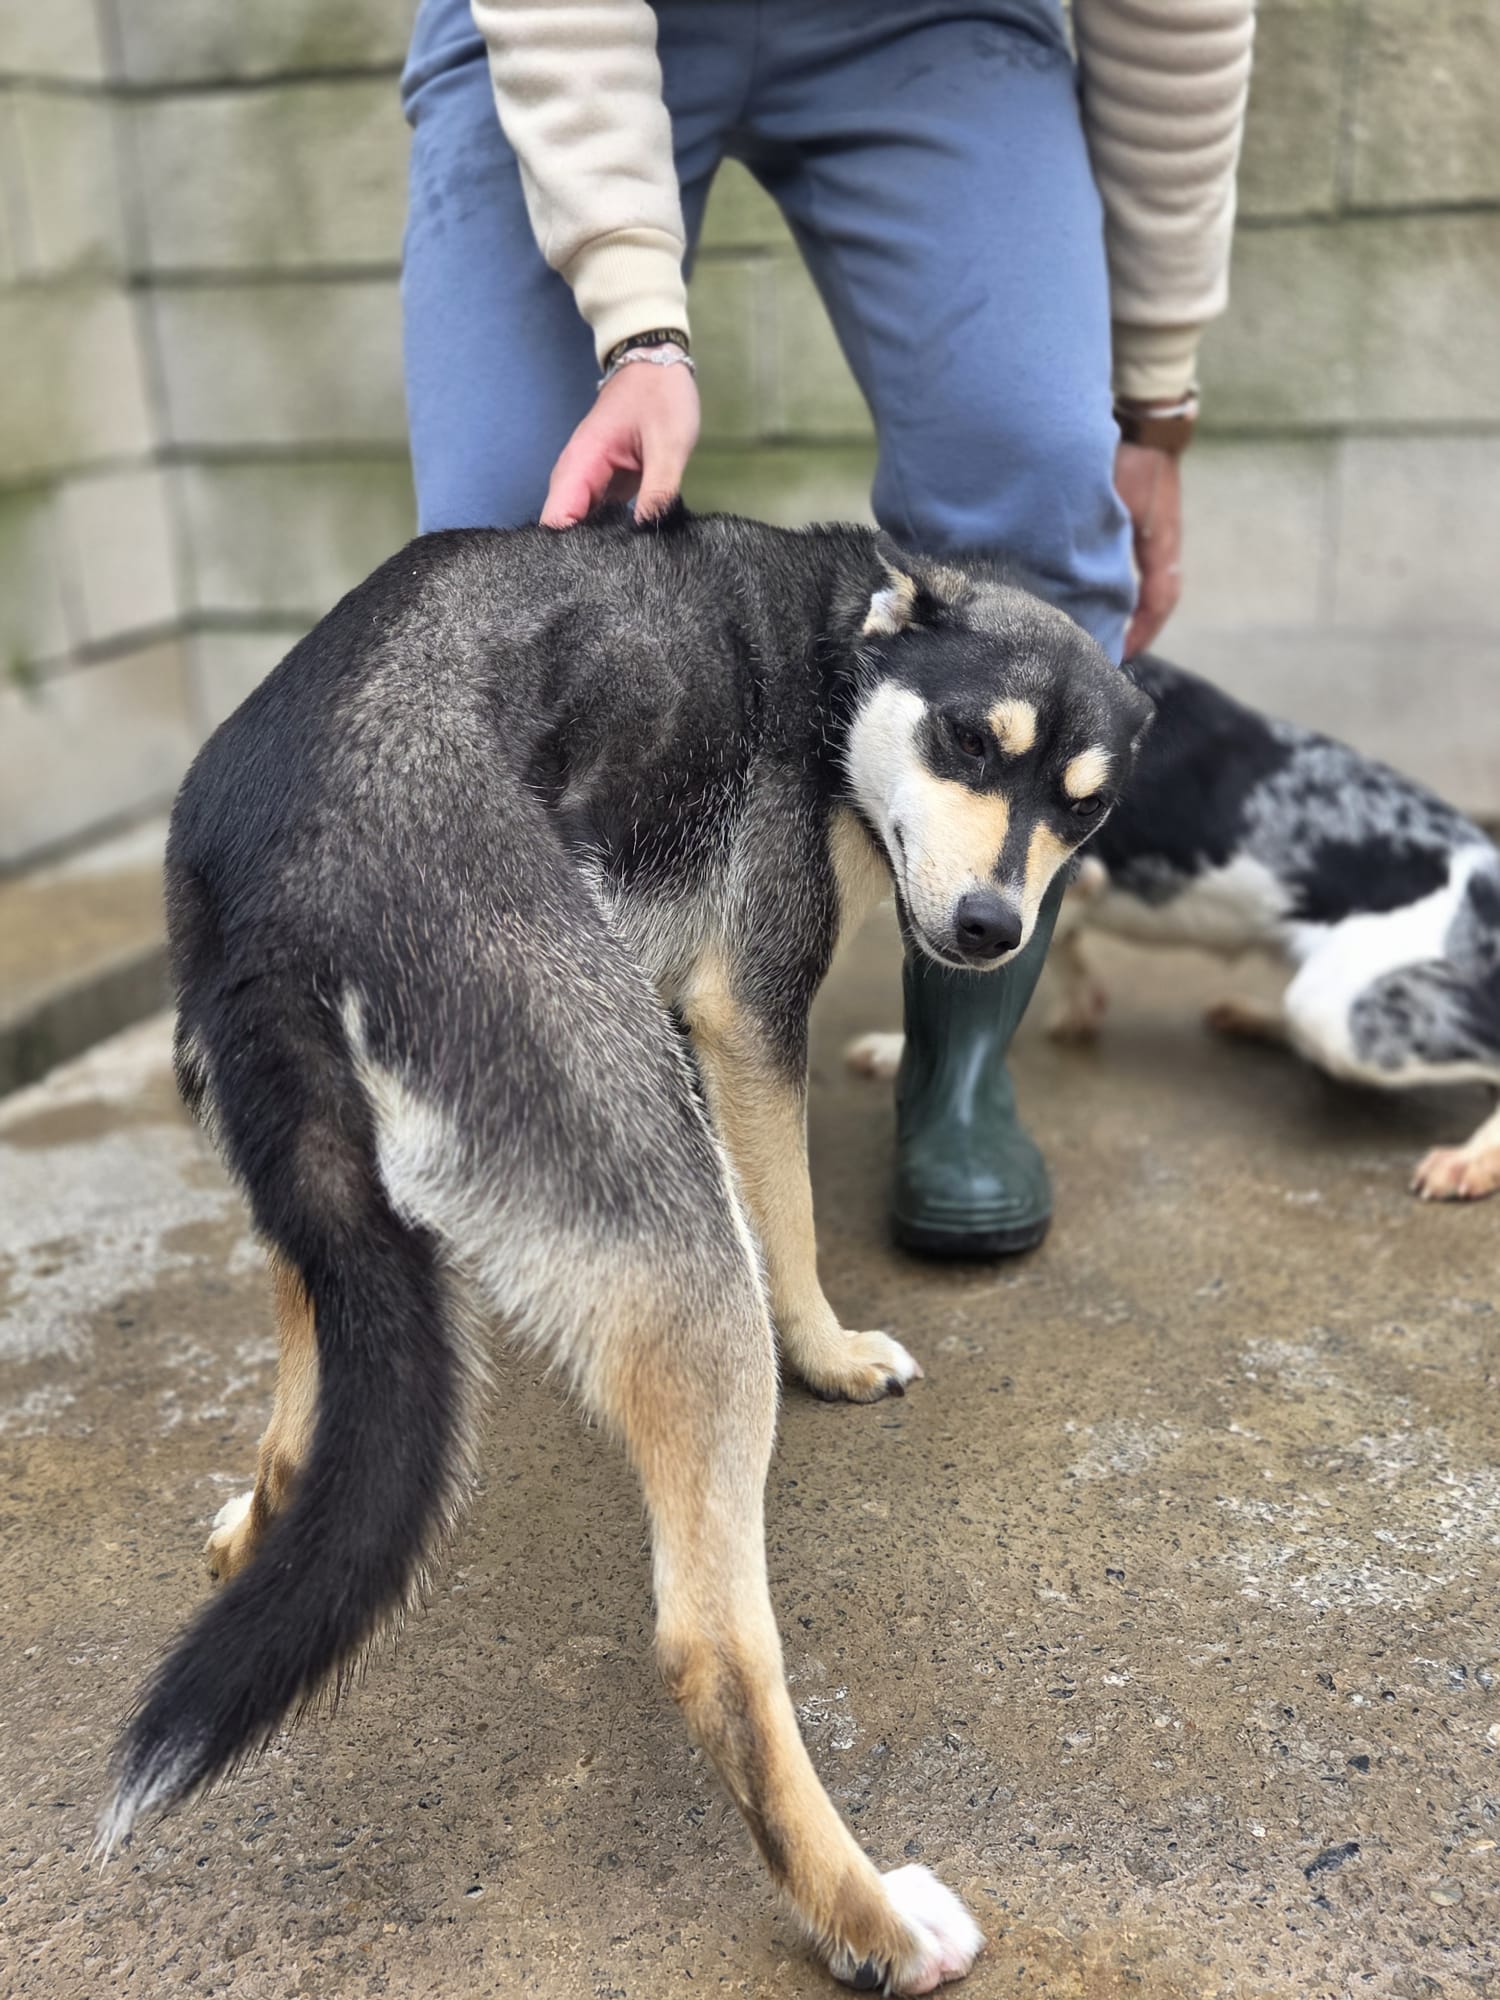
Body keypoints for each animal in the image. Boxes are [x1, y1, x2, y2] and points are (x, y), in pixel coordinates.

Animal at [101, 506, 1151, 1993]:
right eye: (968, 740)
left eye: (1084, 801)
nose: (994, 932)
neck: (830, 651)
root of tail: (287, 894)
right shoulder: (748, 1010)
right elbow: (794, 1221)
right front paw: (829, 1351)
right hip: (664, 1204)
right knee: (712, 1648)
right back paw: (872, 1920)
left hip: (318, 1181)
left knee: (307, 1412)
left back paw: (262, 1525)